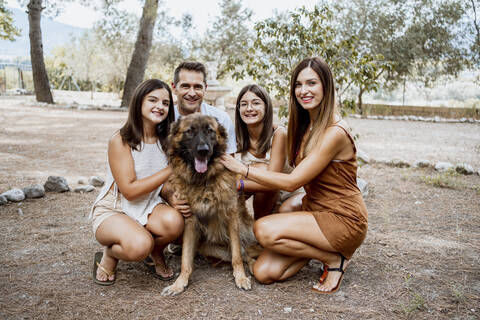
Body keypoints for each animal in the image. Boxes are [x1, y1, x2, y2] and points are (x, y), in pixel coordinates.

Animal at [160, 114, 258, 296]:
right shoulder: (190, 221)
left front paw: (240, 278)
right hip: (208, 247)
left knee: (244, 254)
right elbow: (186, 260)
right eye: (189, 131)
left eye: (210, 131)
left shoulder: (231, 217)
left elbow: (237, 256)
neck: (203, 181)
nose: (203, 150)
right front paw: (179, 283)